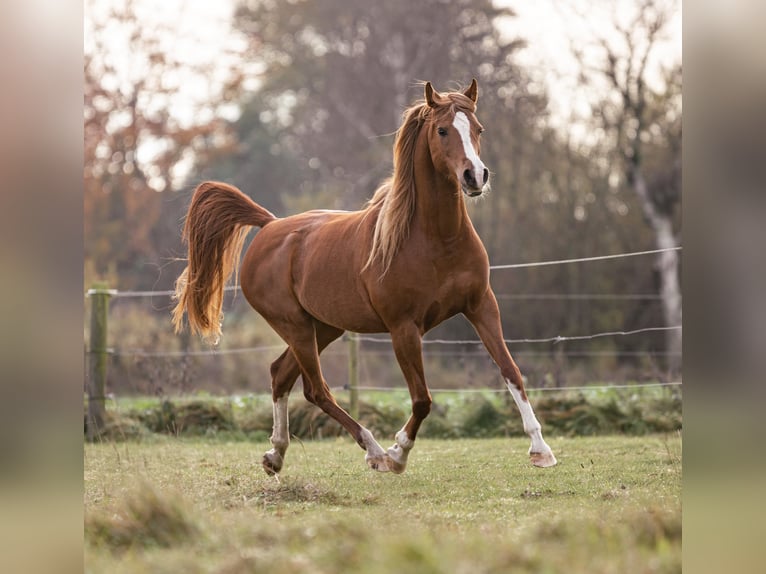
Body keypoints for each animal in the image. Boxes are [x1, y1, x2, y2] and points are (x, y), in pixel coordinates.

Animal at [172, 79, 557, 474]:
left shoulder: (481, 306)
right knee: (316, 389)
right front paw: (398, 453)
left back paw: (275, 455)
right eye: (442, 130)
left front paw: (540, 449)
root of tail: (270, 225)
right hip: (295, 326)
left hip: (323, 326)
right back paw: (374, 451)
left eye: (478, 129)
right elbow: (422, 399)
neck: (437, 239)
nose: (475, 176)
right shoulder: (404, 328)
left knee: (281, 374)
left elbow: (511, 372)